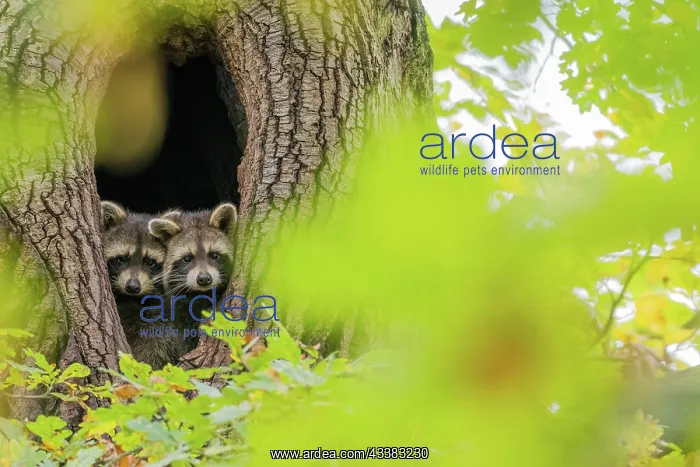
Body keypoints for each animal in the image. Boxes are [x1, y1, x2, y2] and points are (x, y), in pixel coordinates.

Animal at [100, 201, 184, 370]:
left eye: (150, 262)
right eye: (122, 259)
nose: (132, 287)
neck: (131, 299)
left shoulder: (159, 314)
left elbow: (156, 343)